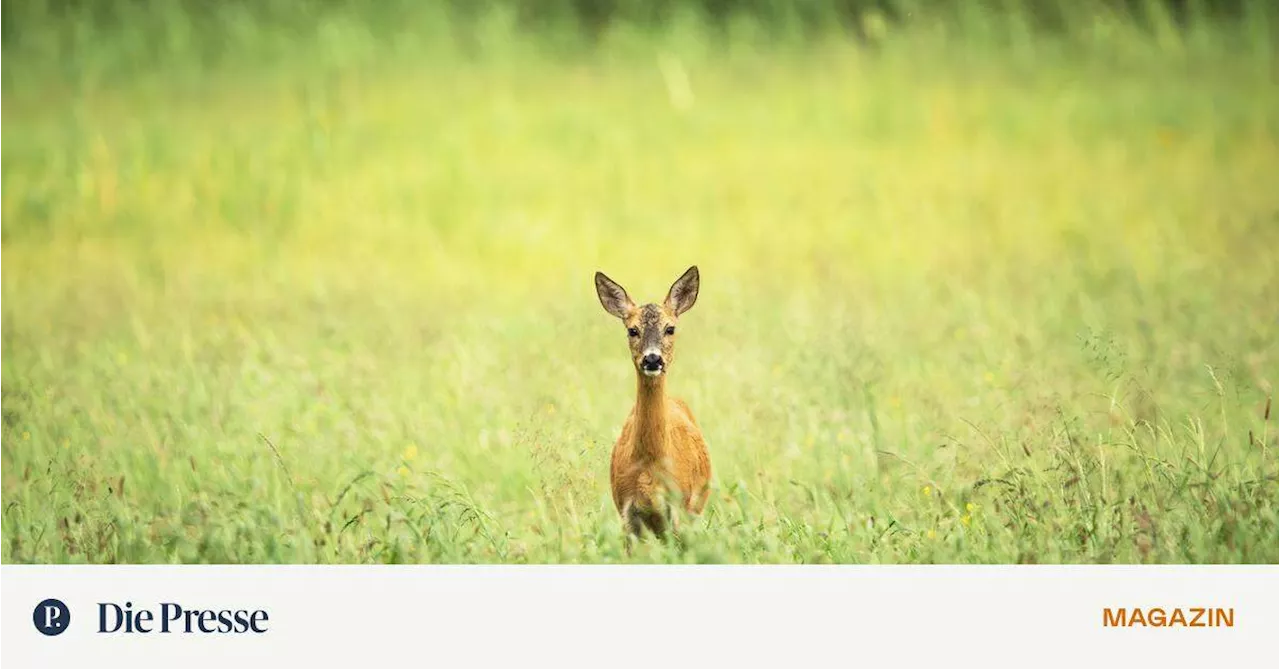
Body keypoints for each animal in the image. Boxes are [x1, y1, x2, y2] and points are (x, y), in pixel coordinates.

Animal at [596, 264, 716, 547]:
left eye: (670, 328)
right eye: (632, 330)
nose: (652, 359)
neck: (650, 465)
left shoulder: (678, 507)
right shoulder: (626, 511)